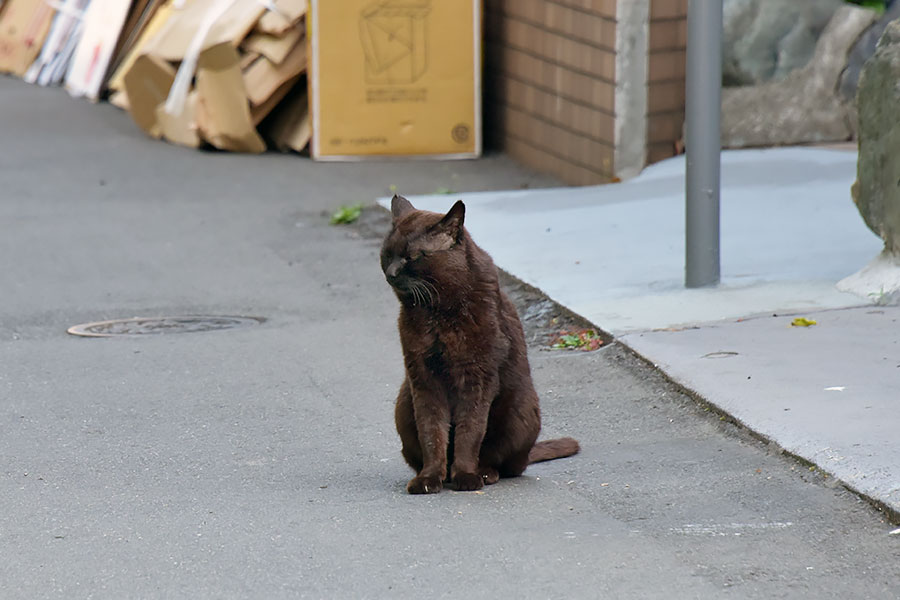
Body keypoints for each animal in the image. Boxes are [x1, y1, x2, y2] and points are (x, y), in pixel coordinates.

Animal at [378, 195, 576, 494]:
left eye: (412, 257)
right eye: (387, 254)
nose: (390, 272)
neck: (436, 313)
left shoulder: (478, 377)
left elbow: (469, 430)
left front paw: (466, 476)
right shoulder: (423, 378)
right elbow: (431, 432)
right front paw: (429, 478)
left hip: (520, 406)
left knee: (507, 465)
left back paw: (482, 473)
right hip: (403, 402)